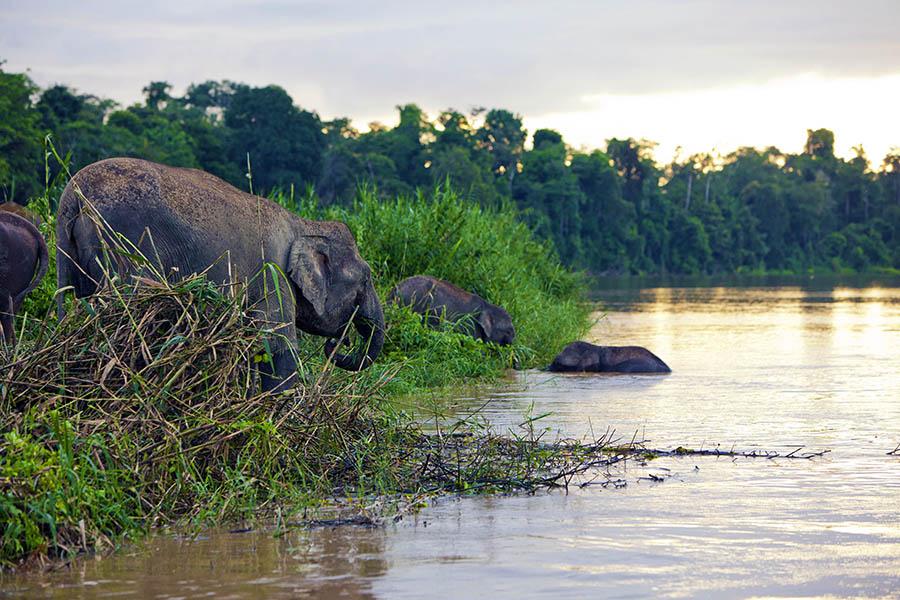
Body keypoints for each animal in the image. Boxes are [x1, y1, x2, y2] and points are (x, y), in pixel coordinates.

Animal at [56, 157, 384, 391]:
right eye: (366, 279)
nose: (339, 343)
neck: (303, 224)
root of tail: (73, 196)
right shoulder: (272, 273)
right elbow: (277, 345)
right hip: (124, 246)